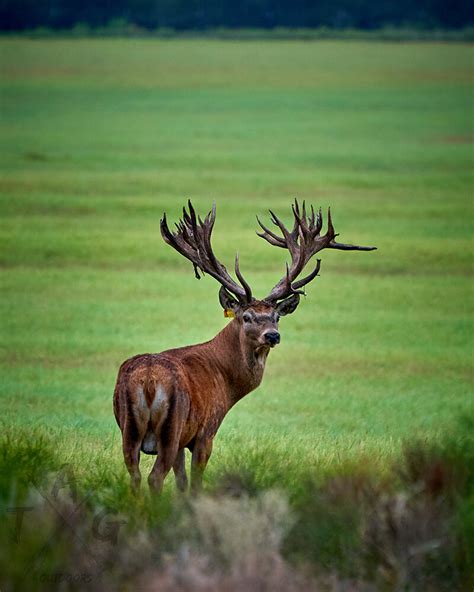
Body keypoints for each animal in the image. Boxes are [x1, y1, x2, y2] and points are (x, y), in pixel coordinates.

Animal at [113, 201, 376, 492]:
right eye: (247, 317)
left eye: (276, 316)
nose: (272, 336)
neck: (225, 379)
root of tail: (148, 381)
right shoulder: (205, 431)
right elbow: (194, 483)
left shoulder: (184, 439)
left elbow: (181, 482)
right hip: (171, 427)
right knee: (155, 477)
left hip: (129, 429)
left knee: (135, 475)